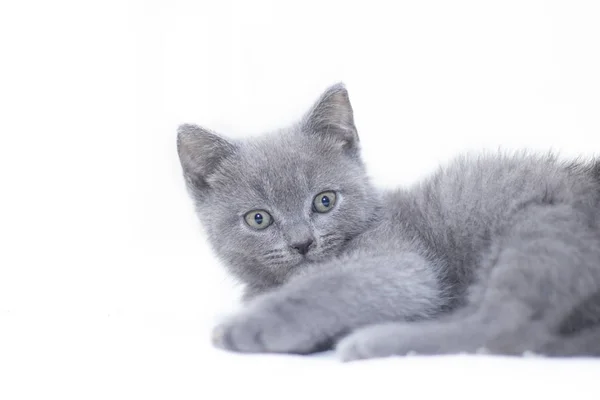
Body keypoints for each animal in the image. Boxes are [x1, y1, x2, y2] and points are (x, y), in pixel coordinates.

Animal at [175, 83, 600, 360]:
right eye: (259, 219)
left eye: (325, 201)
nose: (302, 243)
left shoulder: (401, 260)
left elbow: (330, 283)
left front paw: (248, 324)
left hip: (541, 224)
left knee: (506, 326)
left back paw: (371, 342)